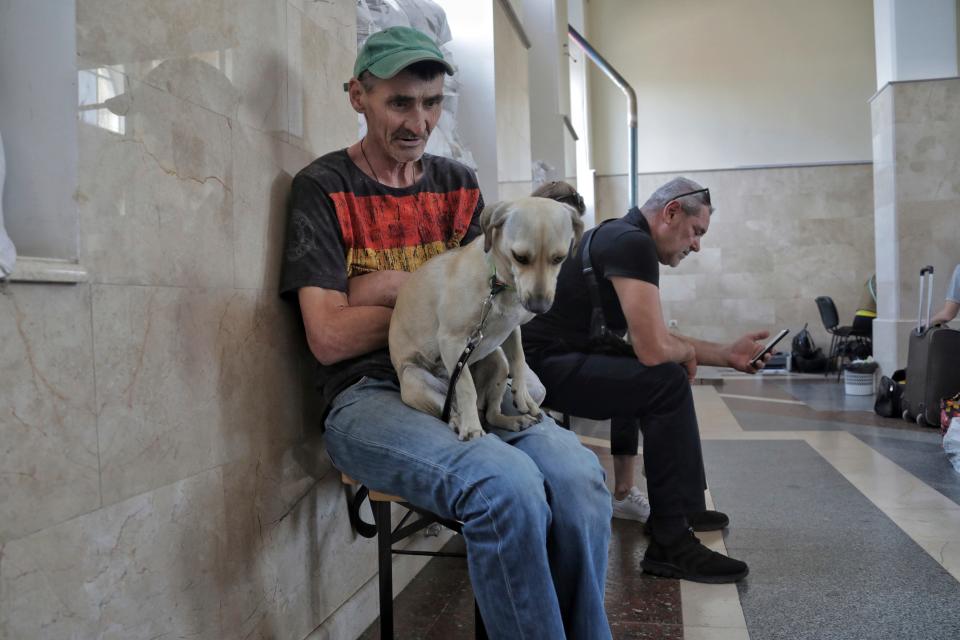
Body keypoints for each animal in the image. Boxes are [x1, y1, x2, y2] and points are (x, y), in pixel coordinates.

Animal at [386, 198, 580, 442]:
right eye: (520, 257)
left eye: (559, 258)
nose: (539, 307)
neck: (498, 284)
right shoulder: (452, 341)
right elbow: (466, 386)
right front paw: (471, 427)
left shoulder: (511, 329)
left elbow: (518, 358)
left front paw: (523, 396)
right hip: (416, 380)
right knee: (452, 410)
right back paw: (462, 421)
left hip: (498, 362)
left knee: (491, 413)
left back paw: (513, 420)